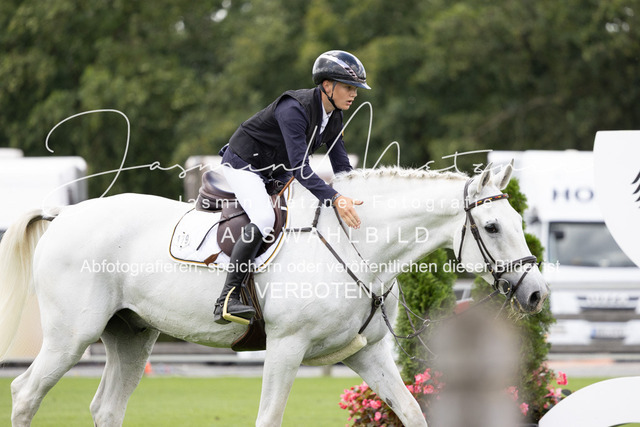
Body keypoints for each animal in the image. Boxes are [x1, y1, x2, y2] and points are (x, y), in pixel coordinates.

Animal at [0, 163, 548, 426]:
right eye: (493, 227)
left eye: (518, 221)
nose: (537, 295)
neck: (362, 248)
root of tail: (65, 215)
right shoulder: (286, 347)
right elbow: (269, 417)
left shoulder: (367, 354)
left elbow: (412, 412)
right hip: (72, 336)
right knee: (26, 394)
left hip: (132, 336)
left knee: (107, 408)